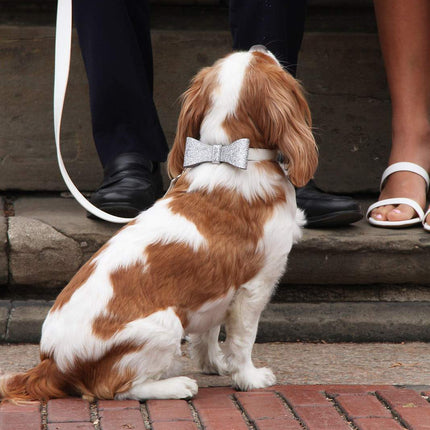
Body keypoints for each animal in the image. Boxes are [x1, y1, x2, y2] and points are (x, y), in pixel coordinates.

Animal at [0, 45, 316, 402]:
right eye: (262, 61)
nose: (258, 47)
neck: (230, 150)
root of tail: (52, 363)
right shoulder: (255, 287)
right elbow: (243, 340)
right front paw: (249, 378)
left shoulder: (216, 286)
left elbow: (208, 334)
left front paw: (214, 365)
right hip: (165, 325)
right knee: (118, 390)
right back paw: (176, 385)